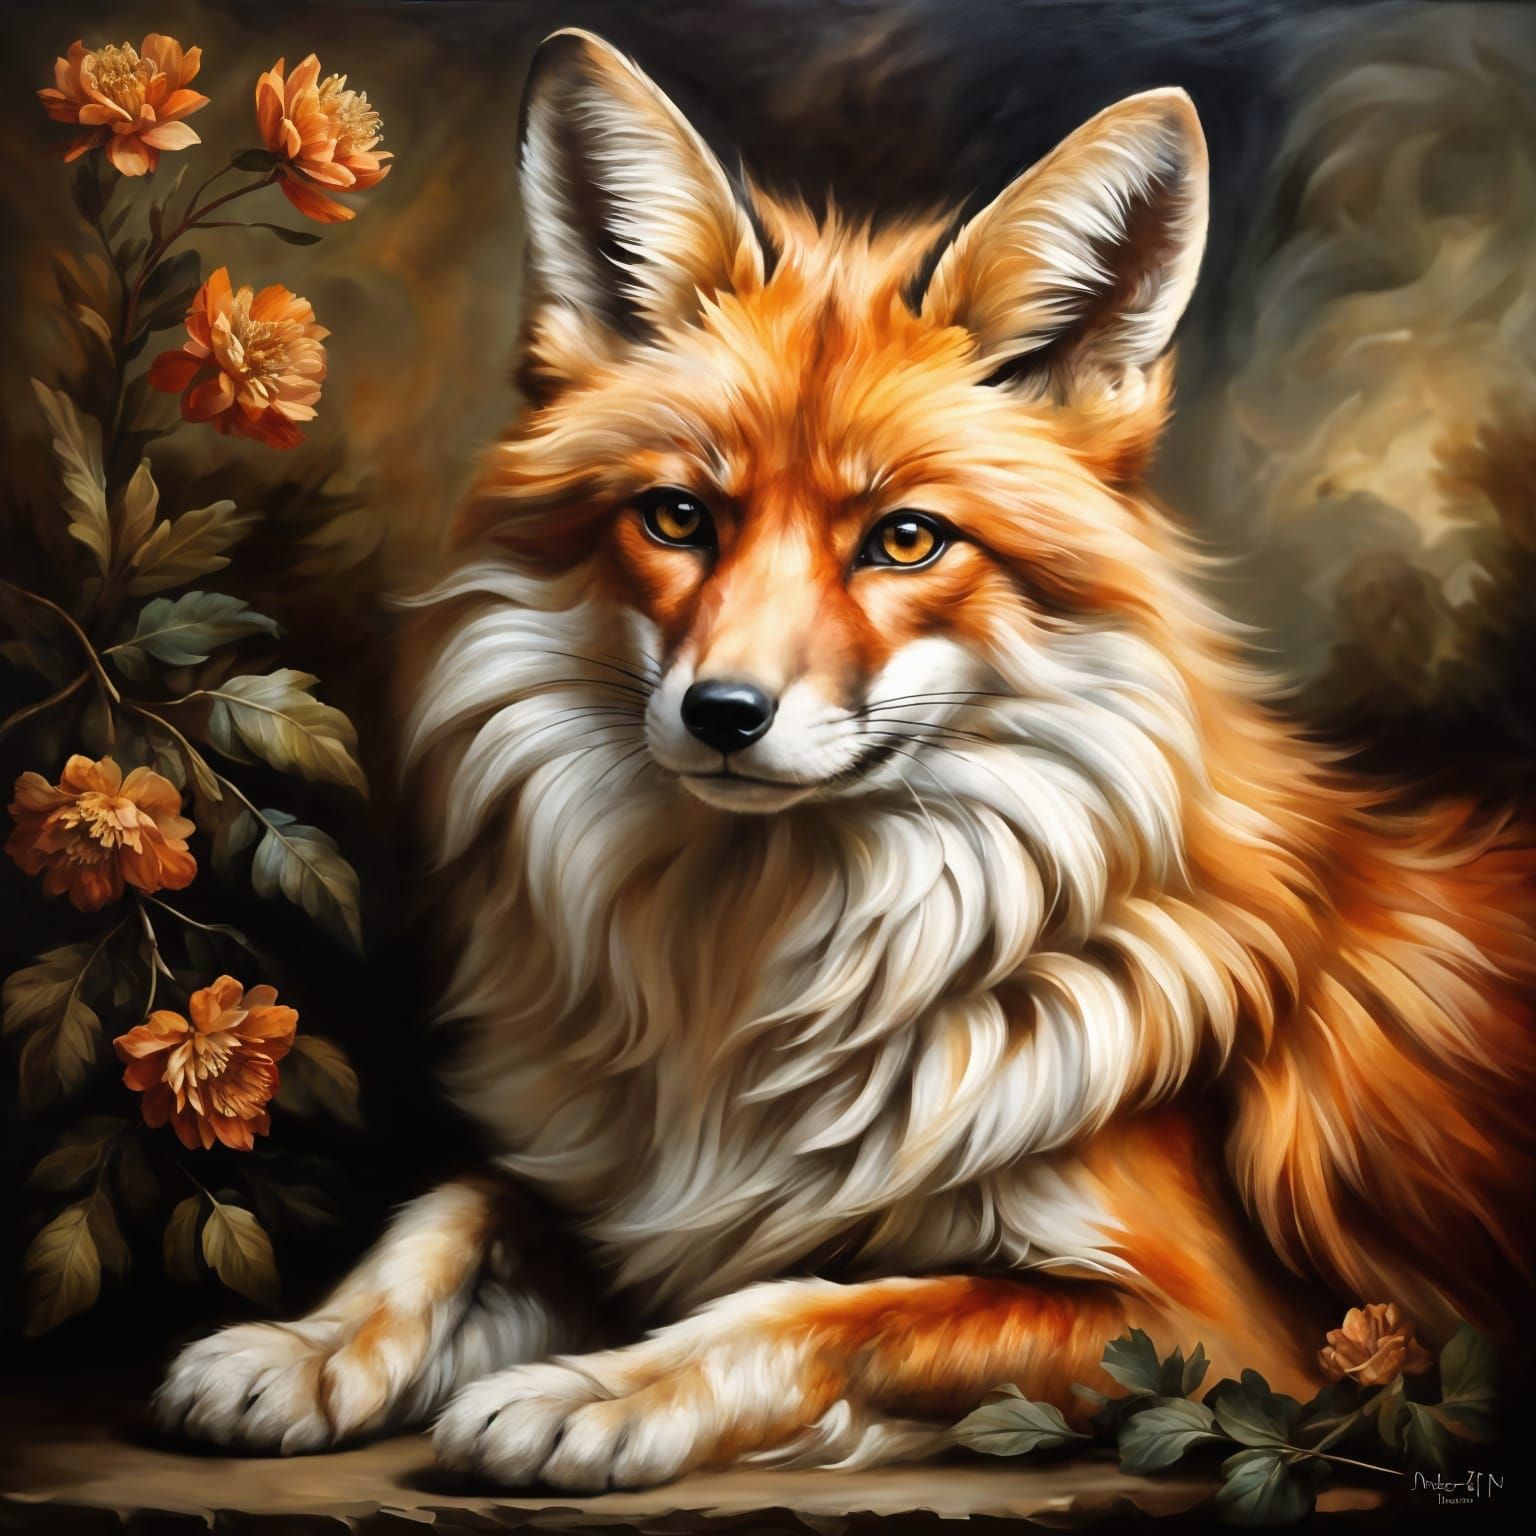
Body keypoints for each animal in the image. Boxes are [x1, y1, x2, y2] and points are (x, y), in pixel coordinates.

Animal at [153, 30, 1535, 1489]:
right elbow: (446, 1212)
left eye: (906, 541)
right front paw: (303, 1347)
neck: (754, 1000)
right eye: (678, 517)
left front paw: (592, 1391)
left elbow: (816, 1307)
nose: (723, 714)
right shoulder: (628, 1199)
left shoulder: (1224, 1330)